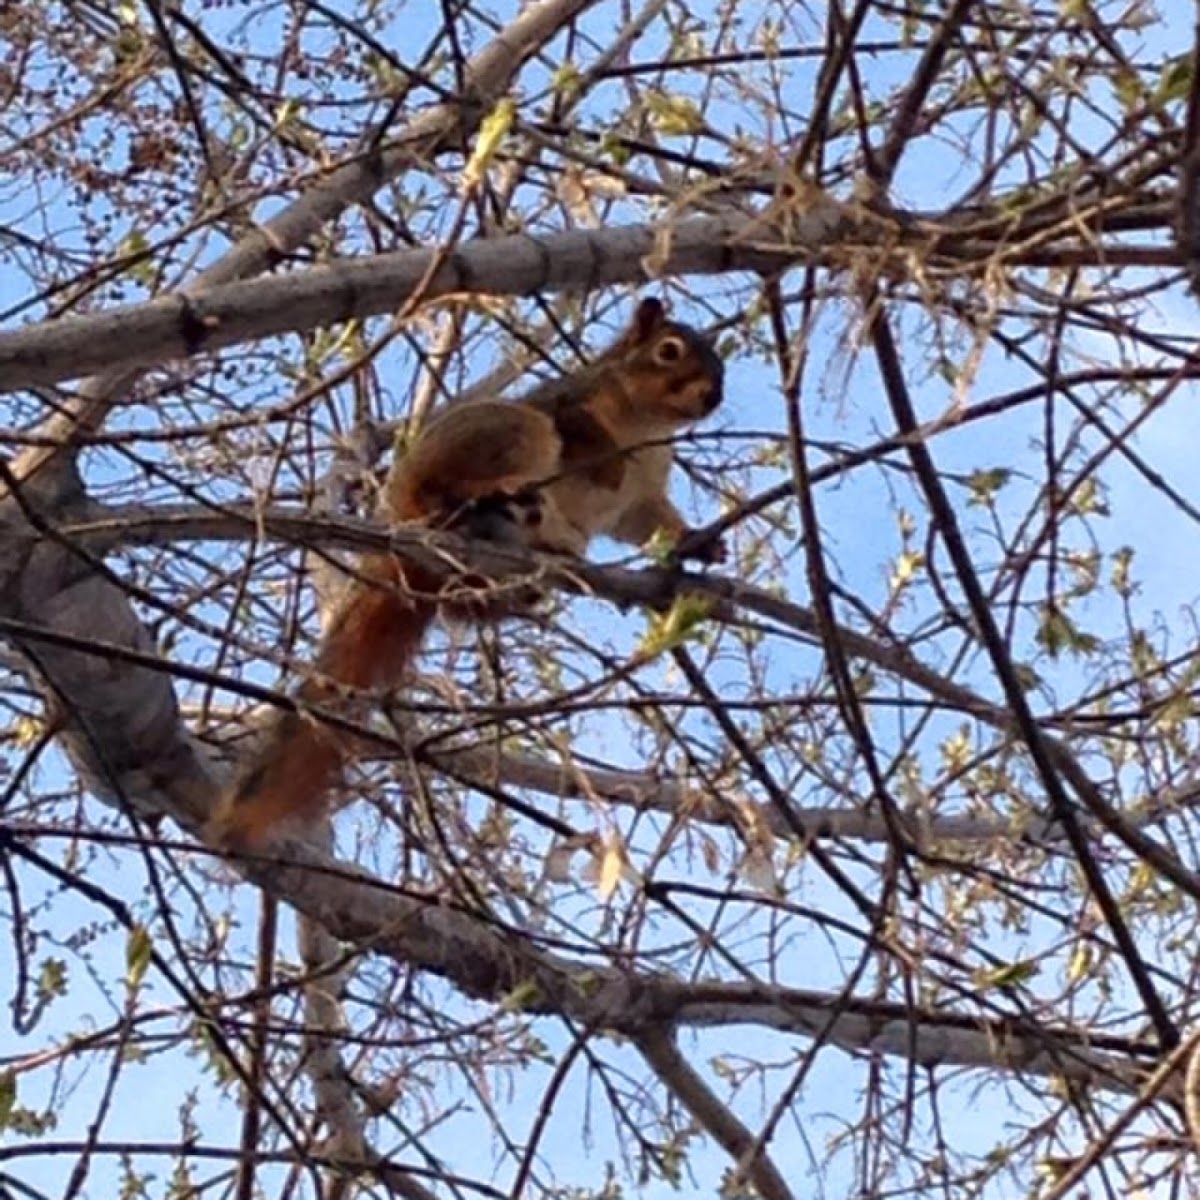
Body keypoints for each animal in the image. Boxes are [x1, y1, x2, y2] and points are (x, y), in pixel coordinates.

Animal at [211, 295, 724, 849]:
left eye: (720, 363)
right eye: (668, 350)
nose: (713, 397)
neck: (647, 427)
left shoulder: (643, 502)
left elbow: (657, 526)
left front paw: (700, 543)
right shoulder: (570, 405)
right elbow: (582, 431)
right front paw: (606, 464)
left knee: (468, 603)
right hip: (509, 430)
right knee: (454, 481)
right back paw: (494, 496)